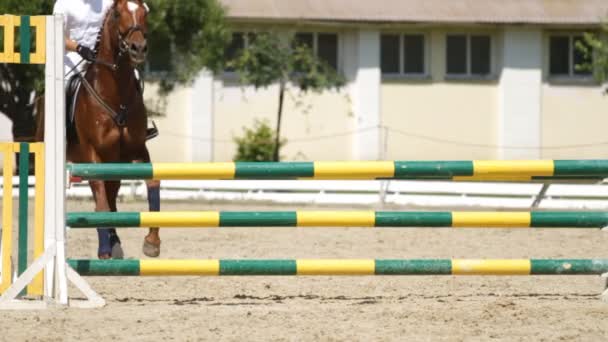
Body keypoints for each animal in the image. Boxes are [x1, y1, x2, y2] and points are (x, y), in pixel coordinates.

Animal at [35, 0, 162, 258]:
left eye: (145, 13)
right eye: (117, 14)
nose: (138, 48)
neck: (115, 94)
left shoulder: (136, 150)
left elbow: (152, 184)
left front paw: (152, 243)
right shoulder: (93, 154)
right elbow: (100, 200)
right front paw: (104, 249)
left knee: (111, 198)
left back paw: (115, 241)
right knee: (102, 198)